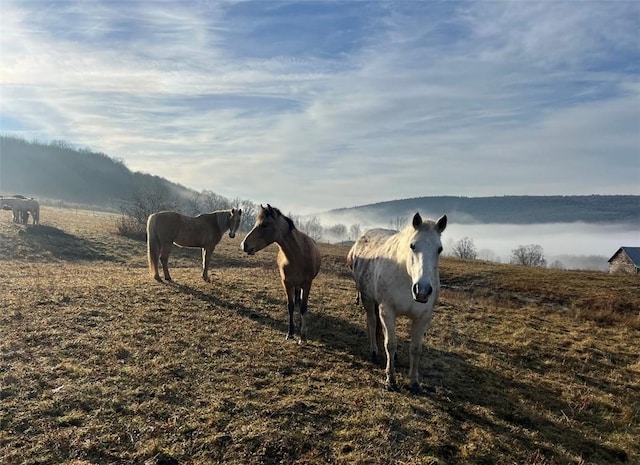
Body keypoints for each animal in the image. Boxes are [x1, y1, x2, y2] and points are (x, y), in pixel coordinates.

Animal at [240, 203, 320, 340]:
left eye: (264, 225)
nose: (244, 245)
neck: (298, 256)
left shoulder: (307, 283)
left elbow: (304, 307)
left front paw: (303, 336)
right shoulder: (287, 283)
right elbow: (290, 306)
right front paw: (290, 333)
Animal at [348, 212, 448, 394]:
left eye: (439, 249)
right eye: (412, 245)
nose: (422, 290)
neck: (406, 275)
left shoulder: (422, 318)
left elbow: (415, 349)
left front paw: (414, 383)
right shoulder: (388, 311)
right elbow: (390, 344)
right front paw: (391, 380)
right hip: (368, 299)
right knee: (372, 323)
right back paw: (374, 352)